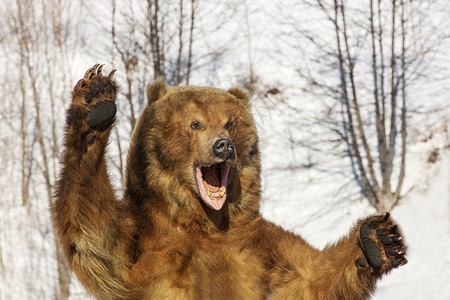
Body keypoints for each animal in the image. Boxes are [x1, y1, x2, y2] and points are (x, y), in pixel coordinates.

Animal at [51, 64, 406, 298]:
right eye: (195, 123)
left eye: (230, 123)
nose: (223, 145)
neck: (205, 222)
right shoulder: (146, 244)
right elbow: (97, 239)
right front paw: (96, 101)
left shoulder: (260, 249)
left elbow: (310, 279)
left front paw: (378, 241)